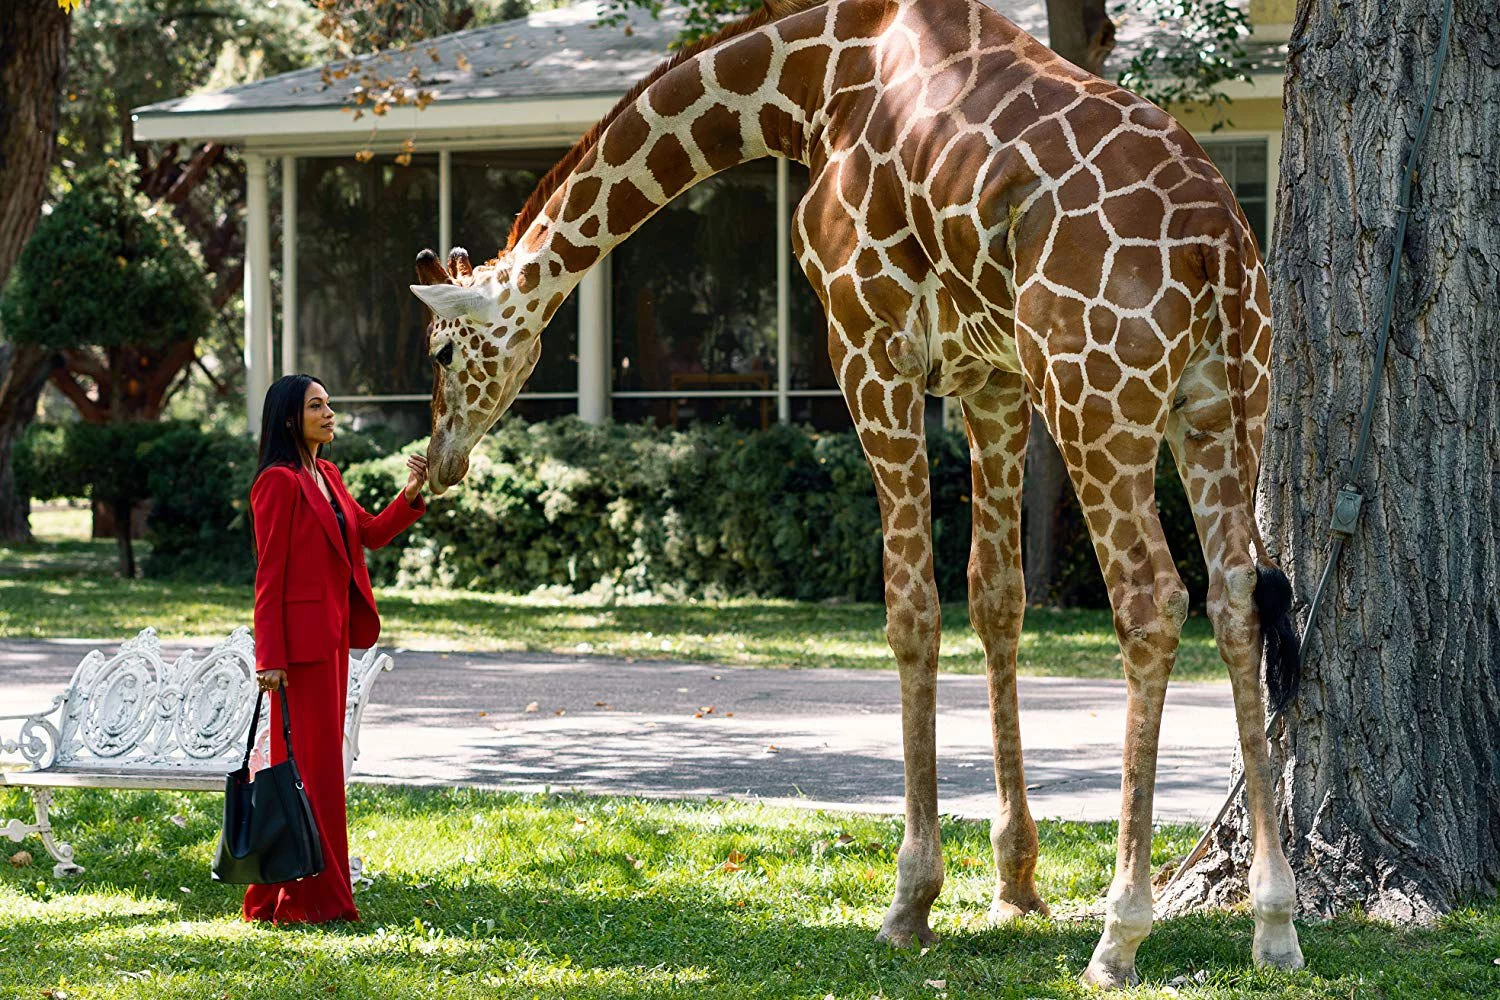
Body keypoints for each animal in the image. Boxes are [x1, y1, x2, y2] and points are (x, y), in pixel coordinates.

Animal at [408, 0, 1302, 983]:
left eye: (442, 352)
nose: (433, 462)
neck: (810, 83)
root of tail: (1218, 243)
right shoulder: (993, 379)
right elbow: (996, 597)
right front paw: (1015, 884)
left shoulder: (869, 344)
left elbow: (910, 608)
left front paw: (910, 901)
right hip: (1221, 403)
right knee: (1236, 597)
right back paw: (1275, 921)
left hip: (1097, 400)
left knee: (1151, 600)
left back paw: (1119, 934)